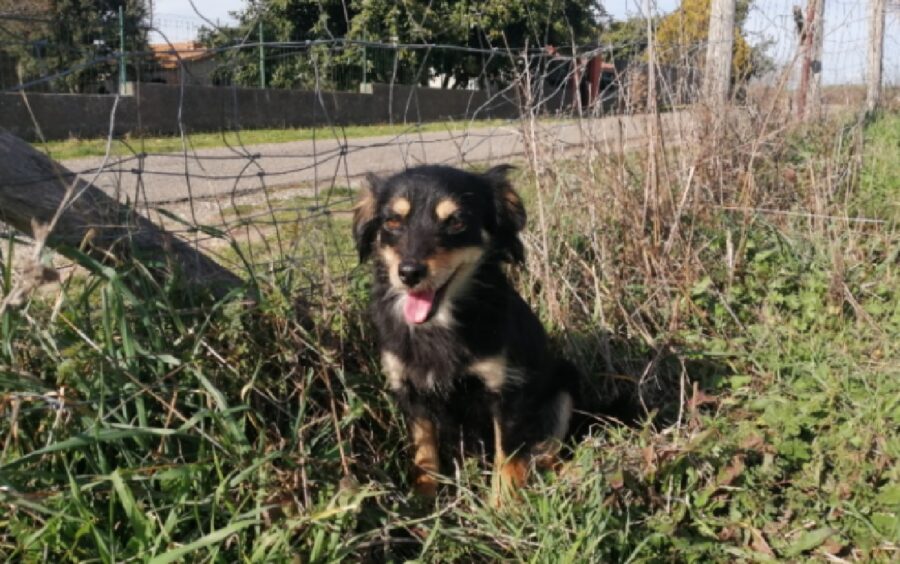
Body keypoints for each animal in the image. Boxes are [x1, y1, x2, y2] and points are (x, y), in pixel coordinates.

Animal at [352, 164, 576, 498]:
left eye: (456, 221)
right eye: (392, 220)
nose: (409, 273)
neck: (438, 324)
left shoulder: (506, 389)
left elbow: (507, 457)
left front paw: (504, 503)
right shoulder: (410, 390)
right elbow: (425, 452)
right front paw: (424, 498)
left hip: (564, 384)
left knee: (546, 452)